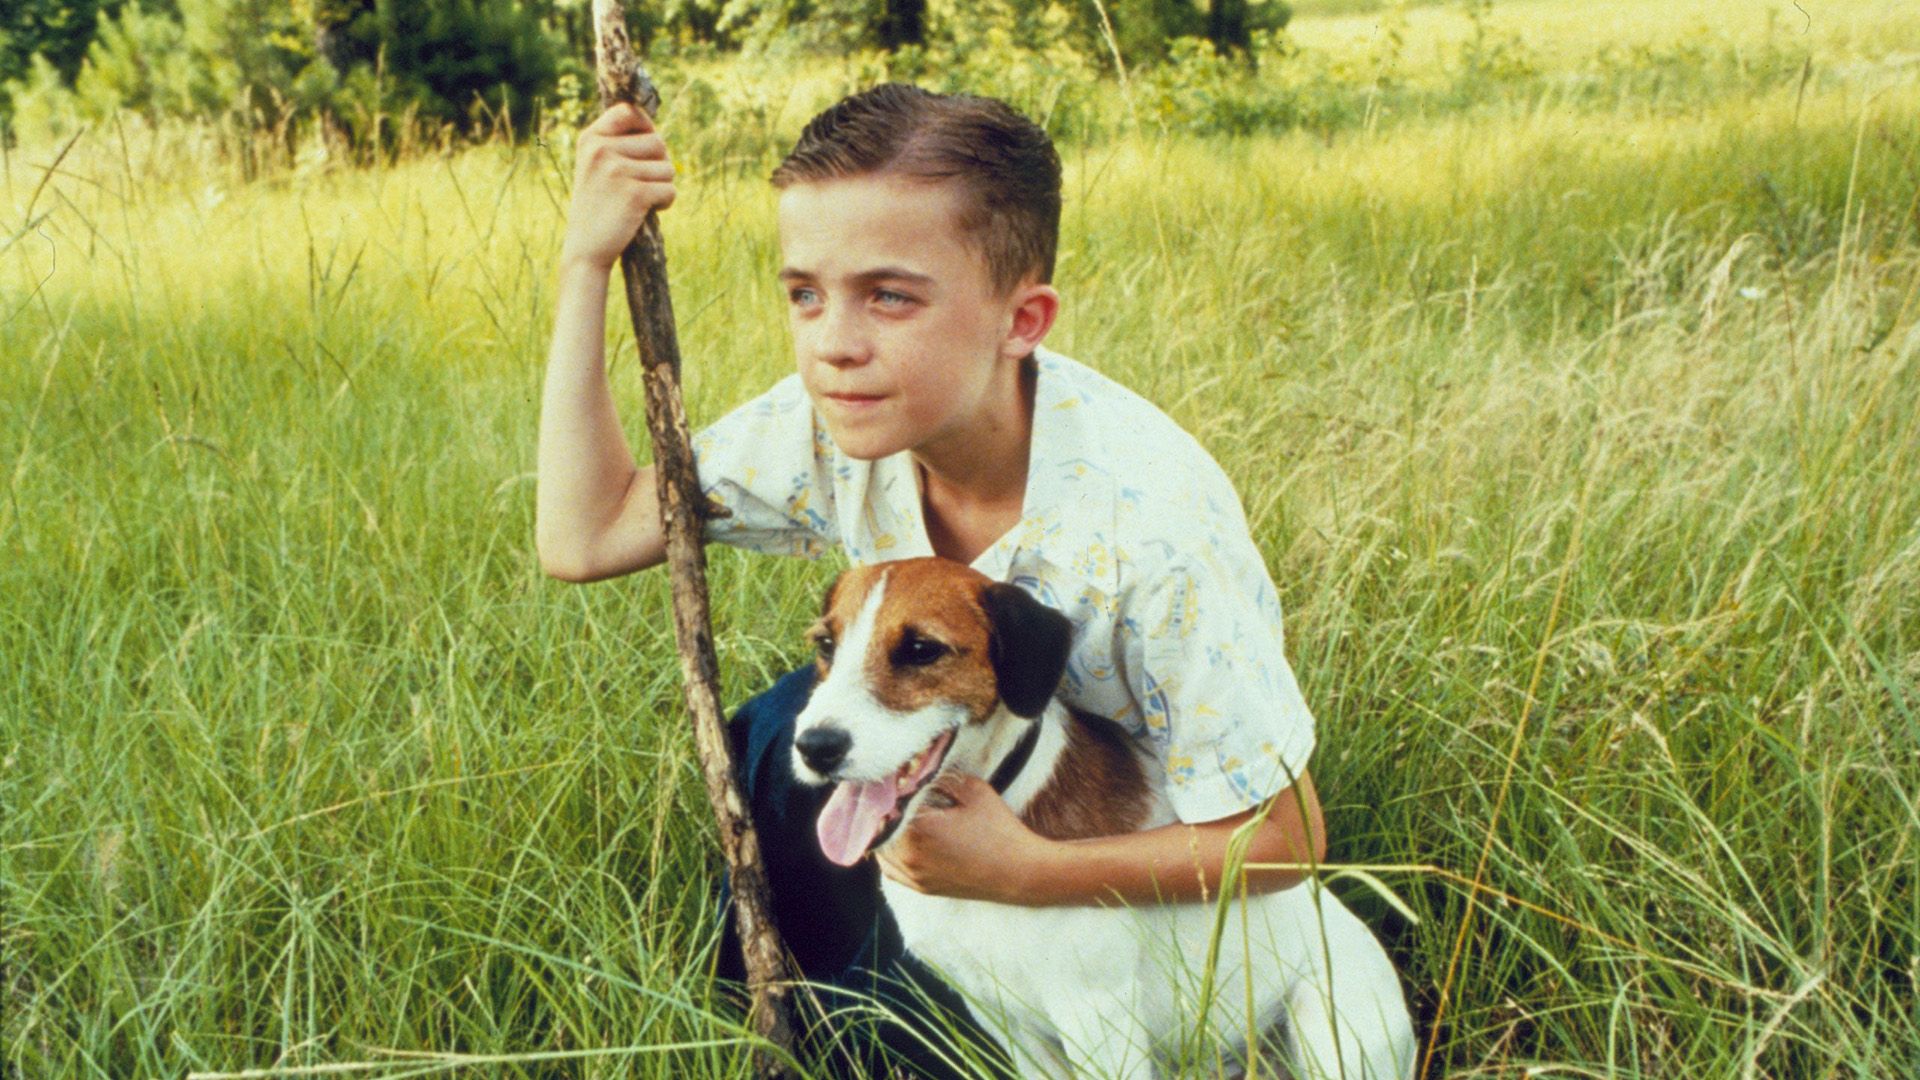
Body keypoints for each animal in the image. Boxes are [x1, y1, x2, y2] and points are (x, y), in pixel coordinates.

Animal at [787, 553, 1420, 1076]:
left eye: (921, 649)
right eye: (826, 646)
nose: (814, 747)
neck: (1007, 792)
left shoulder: (1100, 1022)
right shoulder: (1007, 1020)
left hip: (1330, 1036)